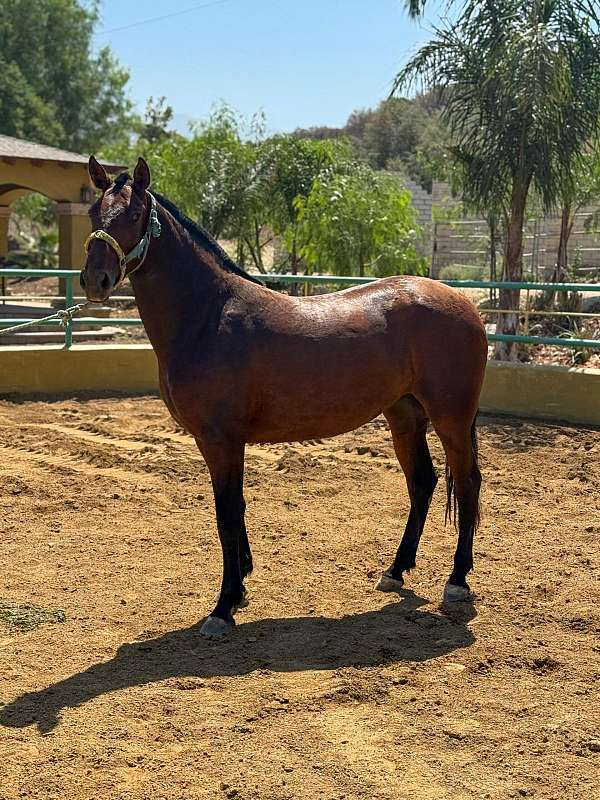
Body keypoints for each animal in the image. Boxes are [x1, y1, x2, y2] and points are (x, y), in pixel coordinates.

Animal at [81, 156, 487, 638]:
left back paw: (457, 580)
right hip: (404, 416)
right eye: (93, 213)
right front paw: (241, 586)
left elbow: (226, 513)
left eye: (136, 214)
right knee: (423, 481)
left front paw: (223, 607)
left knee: (468, 482)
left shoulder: (220, 439)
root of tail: (464, 302)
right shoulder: (224, 442)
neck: (207, 316)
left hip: (451, 418)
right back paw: (395, 571)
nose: (95, 280)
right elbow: (235, 510)